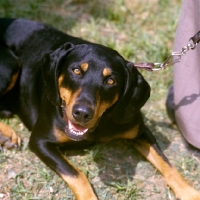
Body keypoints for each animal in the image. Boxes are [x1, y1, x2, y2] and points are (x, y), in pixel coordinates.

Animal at [0, 18, 200, 198]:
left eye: (111, 80)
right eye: (76, 70)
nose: (82, 114)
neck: (99, 125)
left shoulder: (140, 131)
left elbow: (168, 165)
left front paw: (190, 193)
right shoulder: (40, 141)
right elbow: (77, 175)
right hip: (10, 65)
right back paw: (7, 134)